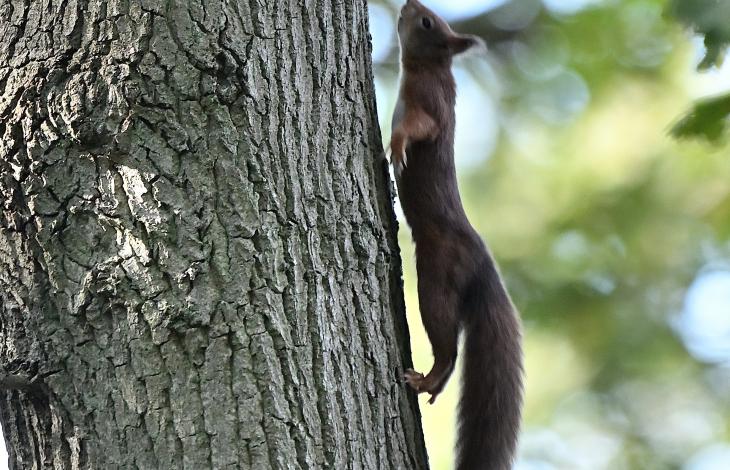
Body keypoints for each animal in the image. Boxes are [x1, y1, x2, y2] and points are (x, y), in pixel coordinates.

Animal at [386, 1, 524, 468]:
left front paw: (396, 147)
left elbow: (418, 127)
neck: (434, 67)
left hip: (437, 283)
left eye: (428, 22)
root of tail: (482, 263)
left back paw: (427, 380)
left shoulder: (428, 103)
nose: (408, 5)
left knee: (449, 347)